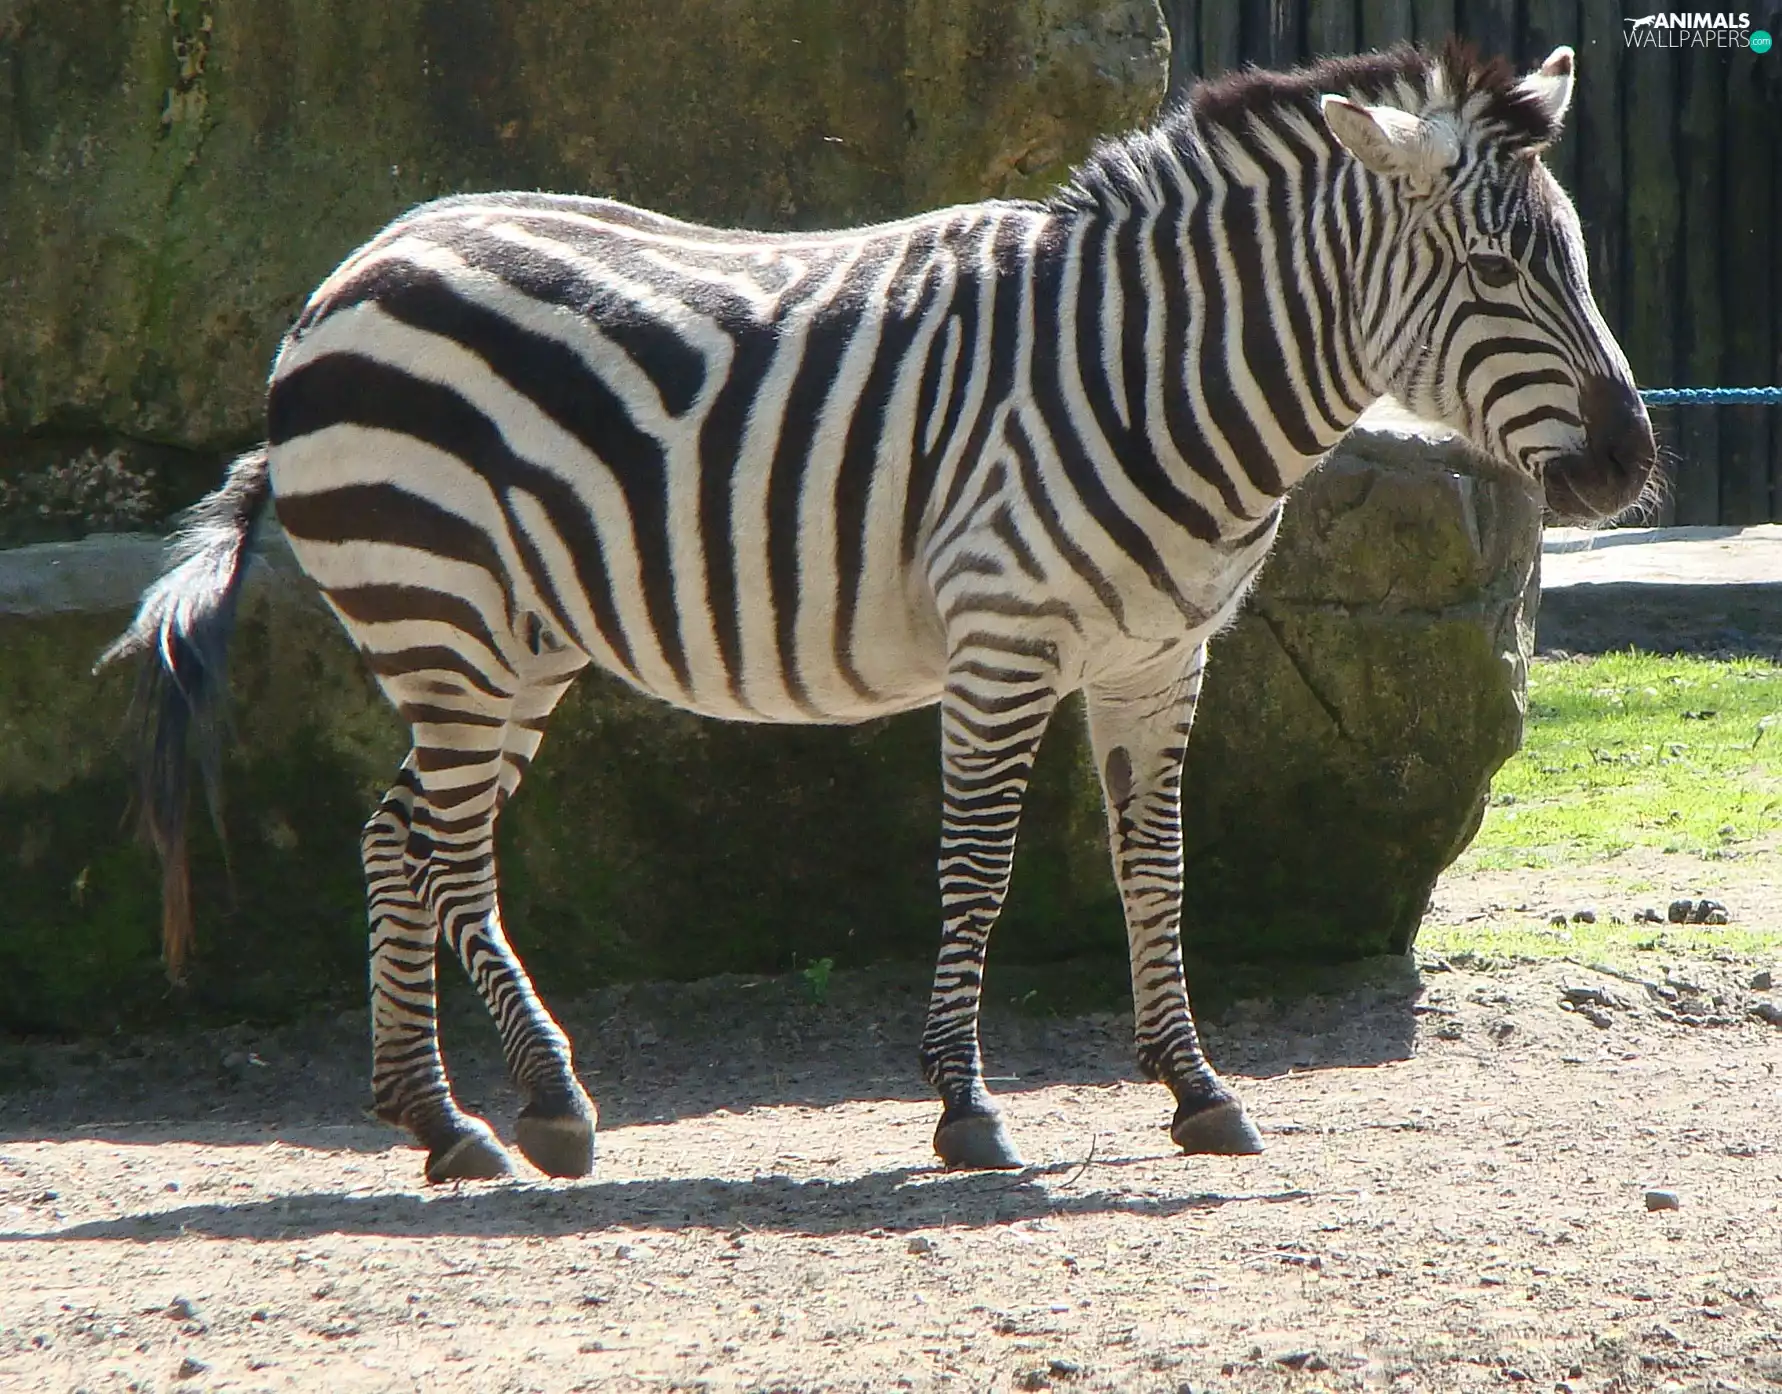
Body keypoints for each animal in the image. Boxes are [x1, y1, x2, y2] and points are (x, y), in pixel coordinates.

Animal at [105, 40, 1656, 1183]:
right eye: (1497, 272)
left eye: (1580, 257)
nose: (1634, 462)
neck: (1159, 369)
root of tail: (346, 274)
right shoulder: (1003, 637)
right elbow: (976, 870)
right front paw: (965, 1106)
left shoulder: (1159, 657)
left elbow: (1157, 869)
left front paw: (1195, 1085)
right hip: (441, 609)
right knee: (443, 854)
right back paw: (533, 1104)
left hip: (509, 639)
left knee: (399, 839)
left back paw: (442, 1119)